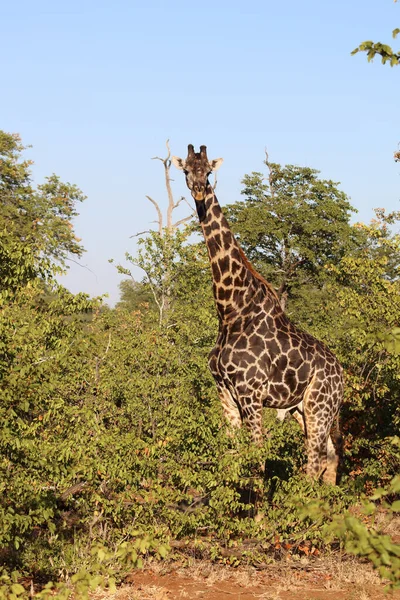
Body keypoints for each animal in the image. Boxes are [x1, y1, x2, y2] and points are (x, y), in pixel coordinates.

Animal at [172, 144, 344, 482]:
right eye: (186, 170)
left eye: (208, 172)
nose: (198, 190)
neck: (231, 310)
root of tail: (342, 377)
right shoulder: (224, 391)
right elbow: (231, 455)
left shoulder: (250, 394)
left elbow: (257, 460)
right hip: (303, 410)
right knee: (329, 457)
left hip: (319, 406)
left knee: (314, 461)